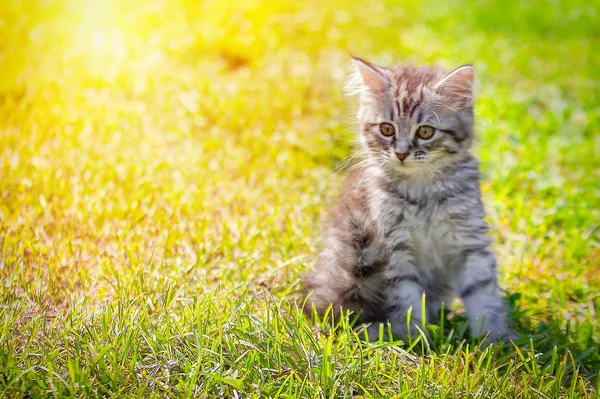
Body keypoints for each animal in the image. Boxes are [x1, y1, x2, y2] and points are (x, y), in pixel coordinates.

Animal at [304, 56, 516, 344]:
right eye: (387, 129)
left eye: (425, 132)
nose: (402, 153)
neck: (422, 191)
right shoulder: (394, 248)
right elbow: (407, 301)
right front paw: (414, 339)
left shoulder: (469, 241)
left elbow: (482, 292)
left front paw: (494, 340)